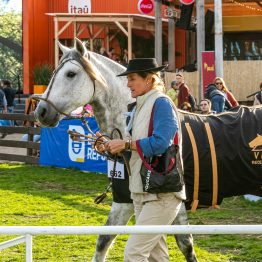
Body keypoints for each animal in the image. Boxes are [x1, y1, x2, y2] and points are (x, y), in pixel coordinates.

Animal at [35, 39, 199, 262]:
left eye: (70, 73)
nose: (41, 112)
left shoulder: (173, 202)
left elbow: (185, 245)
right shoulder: (124, 200)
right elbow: (104, 239)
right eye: (53, 72)